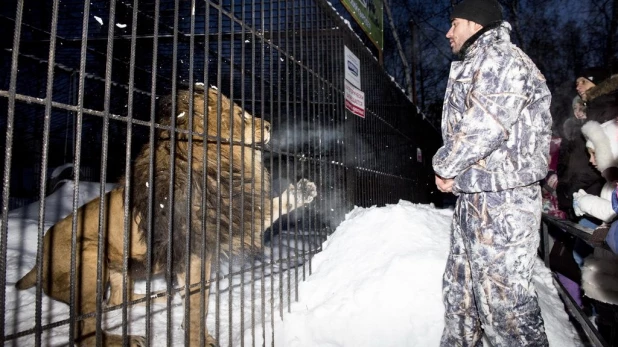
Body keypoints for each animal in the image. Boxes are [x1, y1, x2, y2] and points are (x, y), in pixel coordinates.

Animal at [16, 85, 316, 347]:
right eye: (241, 115)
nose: (269, 125)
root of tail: (39, 260)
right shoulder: (192, 252)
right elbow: (197, 306)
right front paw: (198, 339)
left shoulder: (222, 228)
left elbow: (202, 299)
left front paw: (301, 193)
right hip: (91, 256)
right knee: (85, 331)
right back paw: (129, 338)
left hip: (120, 269)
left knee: (115, 301)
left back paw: (161, 296)